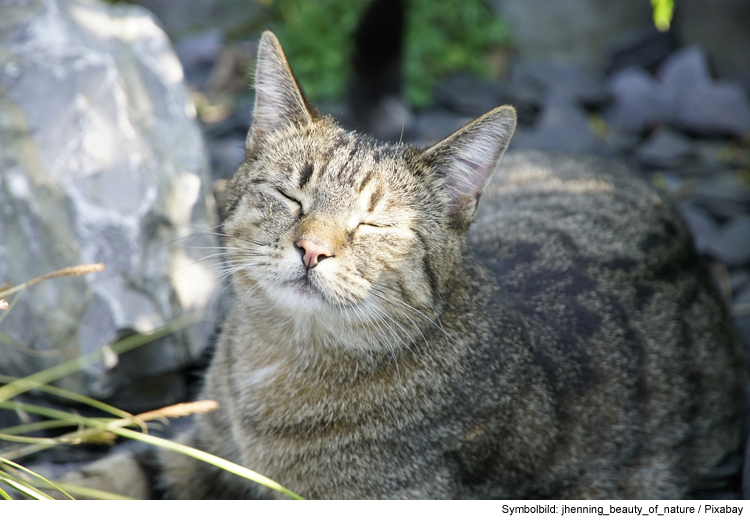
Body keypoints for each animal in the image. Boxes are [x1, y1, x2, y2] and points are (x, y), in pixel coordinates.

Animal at [61, 29, 744, 500]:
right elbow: (109, 475)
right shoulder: (204, 446)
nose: (311, 248)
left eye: (374, 225)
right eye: (292, 196)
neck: (280, 360)